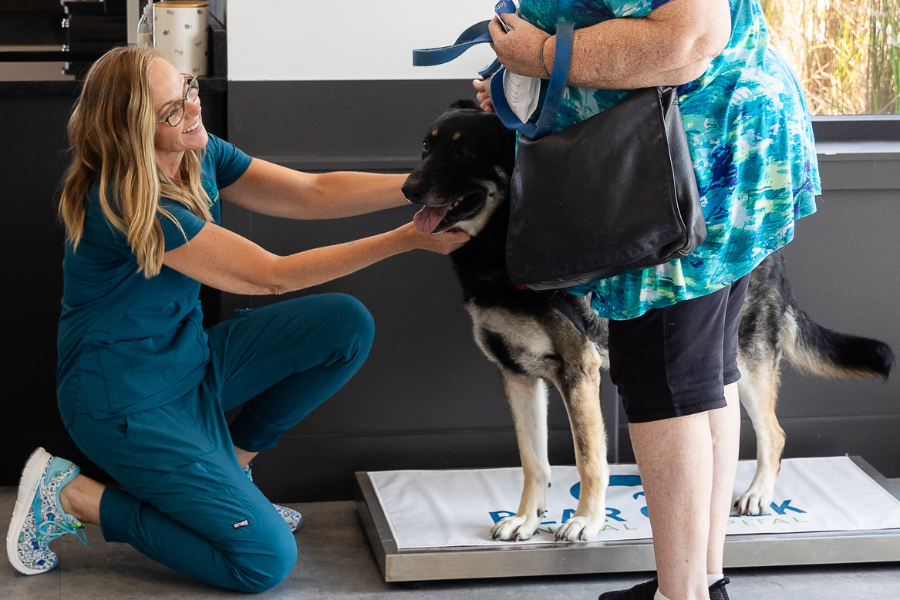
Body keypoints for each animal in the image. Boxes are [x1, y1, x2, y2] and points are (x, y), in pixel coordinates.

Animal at [404, 101, 896, 540]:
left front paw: (586, 521)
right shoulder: (517, 374)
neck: (498, 249)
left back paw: (757, 494)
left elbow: (589, 459)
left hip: (748, 361)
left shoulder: (578, 374)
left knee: (773, 434)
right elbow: (532, 459)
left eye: (464, 151)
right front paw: (527, 519)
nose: (408, 189)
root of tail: (772, 249)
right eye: (426, 147)